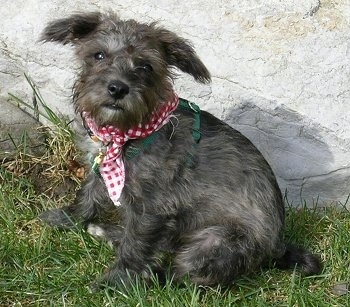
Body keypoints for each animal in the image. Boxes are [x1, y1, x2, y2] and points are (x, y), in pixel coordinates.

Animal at [39, 12, 322, 290]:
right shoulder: (101, 170)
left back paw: (148, 273)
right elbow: (88, 197)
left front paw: (115, 283)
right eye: (99, 55)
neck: (130, 133)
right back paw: (108, 232)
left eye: (146, 66)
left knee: (181, 277)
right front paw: (67, 218)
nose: (118, 88)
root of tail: (278, 248)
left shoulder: (152, 208)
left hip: (213, 243)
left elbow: (135, 247)